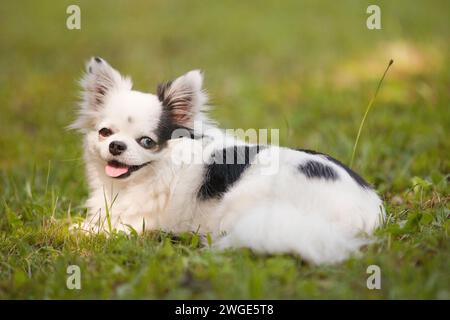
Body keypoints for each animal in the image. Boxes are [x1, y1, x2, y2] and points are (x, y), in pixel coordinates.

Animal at [70, 56, 384, 264]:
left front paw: (73, 230)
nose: (116, 146)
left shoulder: (136, 222)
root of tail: (367, 210)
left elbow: (98, 229)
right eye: (105, 132)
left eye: (147, 142)